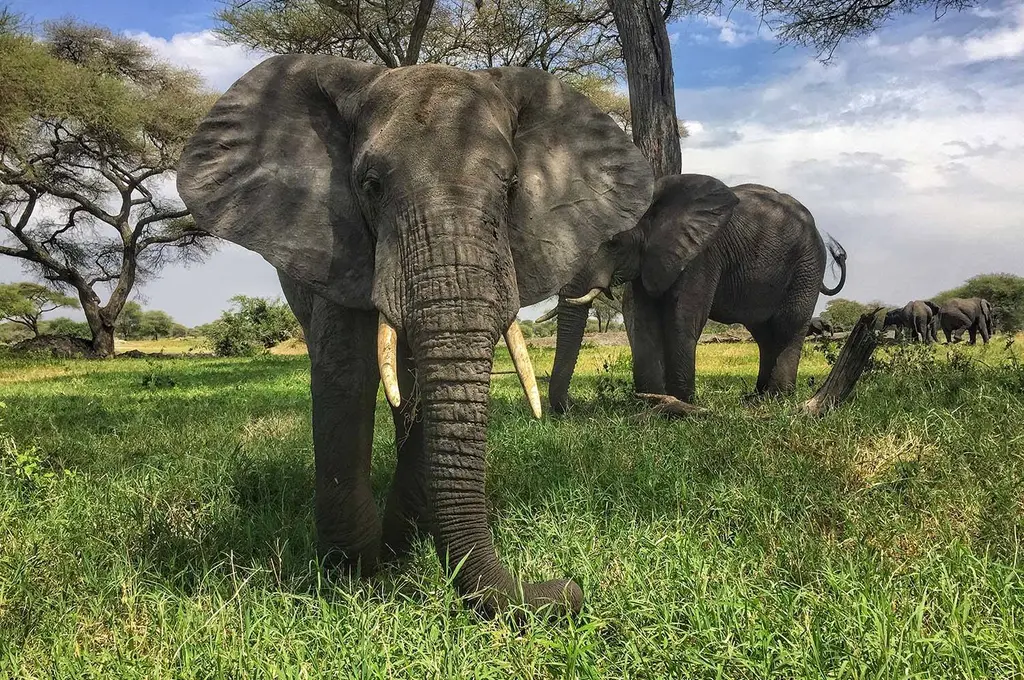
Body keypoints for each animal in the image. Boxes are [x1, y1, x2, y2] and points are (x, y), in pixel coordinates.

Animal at [174, 54, 655, 614]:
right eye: (371, 185)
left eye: (511, 187)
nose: (569, 589)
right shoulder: (340, 245)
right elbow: (346, 375)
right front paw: (355, 573)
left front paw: (396, 551)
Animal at [544, 174, 847, 409]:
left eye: (613, 243)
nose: (571, 406)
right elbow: (641, 318)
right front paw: (651, 400)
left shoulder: (701, 255)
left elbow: (682, 317)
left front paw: (679, 402)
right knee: (763, 333)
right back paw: (756, 398)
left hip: (807, 264)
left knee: (789, 325)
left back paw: (777, 398)